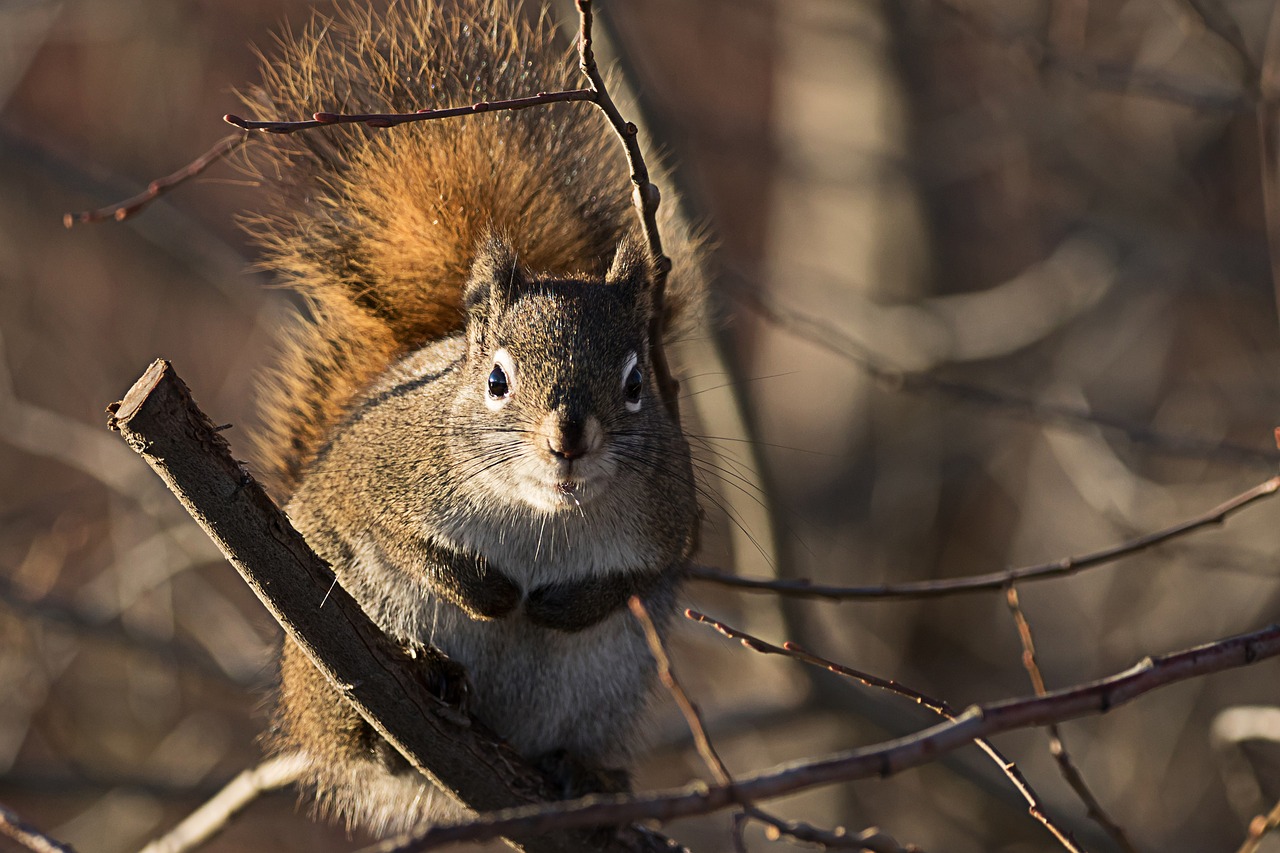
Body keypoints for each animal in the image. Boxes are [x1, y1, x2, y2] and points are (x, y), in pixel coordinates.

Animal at [236, 0, 706, 829]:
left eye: (634, 383)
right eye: (495, 379)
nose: (568, 440)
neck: (541, 517)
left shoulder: (671, 517)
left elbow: (644, 576)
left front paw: (560, 605)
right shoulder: (377, 474)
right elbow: (395, 536)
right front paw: (489, 593)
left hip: (606, 687)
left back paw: (580, 769)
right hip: (326, 666)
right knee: (358, 741)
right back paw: (410, 696)